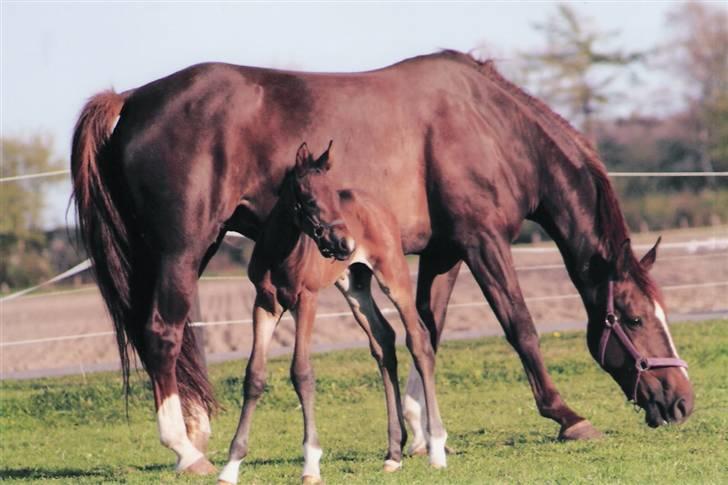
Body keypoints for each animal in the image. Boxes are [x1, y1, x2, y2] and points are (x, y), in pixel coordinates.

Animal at [216, 142, 444, 482]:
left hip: (394, 276)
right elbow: (254, 375)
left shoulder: (306, 300)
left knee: (418, 340)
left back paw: (437, 449)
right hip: (354, 285)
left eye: (335, 197)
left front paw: (311, 463)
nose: (345, 243)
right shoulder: (265, 303)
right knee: (383, 341)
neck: (280, 253)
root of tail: (378, 206)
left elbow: (302, 372)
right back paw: (393, 454)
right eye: (310, 200)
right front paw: (231, 465)